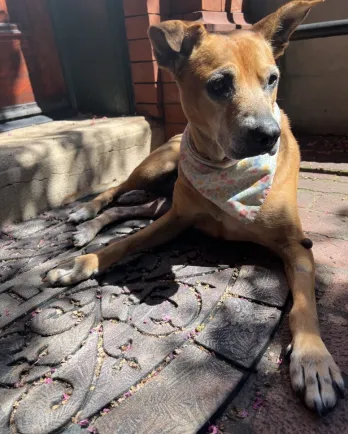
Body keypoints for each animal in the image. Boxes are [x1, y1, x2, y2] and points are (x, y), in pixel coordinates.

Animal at [45, 0, 342, 414]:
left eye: (272, 79)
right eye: (219, 85)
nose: (269, 136)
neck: (225, 169)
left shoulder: (295, 245)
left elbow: (304, 305)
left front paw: (314, 360)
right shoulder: (177, 219)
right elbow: (124, 243)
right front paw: (82, 263)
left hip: (160, 202)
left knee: (127, 209)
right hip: (156, 167)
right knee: (117, 191)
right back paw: (86, 216)